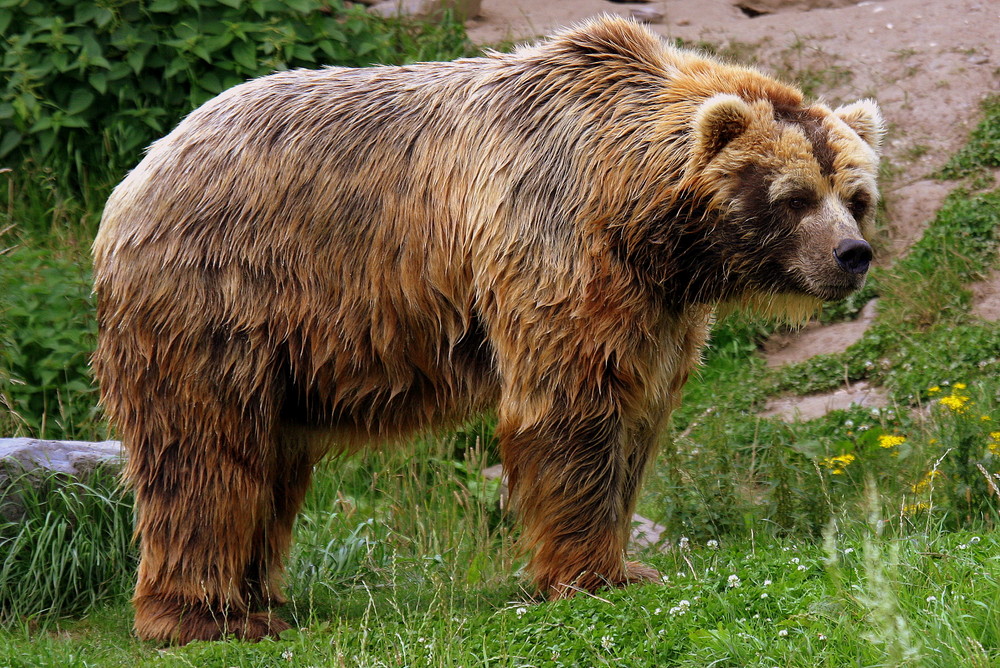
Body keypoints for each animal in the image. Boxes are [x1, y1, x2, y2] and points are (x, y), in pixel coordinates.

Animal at [92, 14, 884, 640]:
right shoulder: (553, 238)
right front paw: (589, 573)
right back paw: (205, 618)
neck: (643, 219)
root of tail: (142, 168)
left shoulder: (656, 304)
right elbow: (573, 407)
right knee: (204, 447)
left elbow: (639, 412)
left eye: (856, 194)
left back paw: (260, 597)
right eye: (793, 195)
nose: (852, 255)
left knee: (269, 460)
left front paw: (630, 562)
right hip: (222, 294)